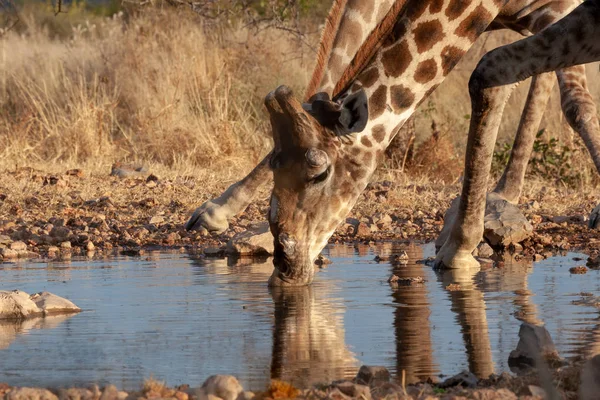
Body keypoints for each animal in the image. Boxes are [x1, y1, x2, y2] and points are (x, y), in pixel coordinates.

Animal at [185, 0, 600, 288]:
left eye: (320, 173)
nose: (288, 268)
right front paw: (218, 212)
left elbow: (573, 101)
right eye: (275, 166)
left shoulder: (556, 10)